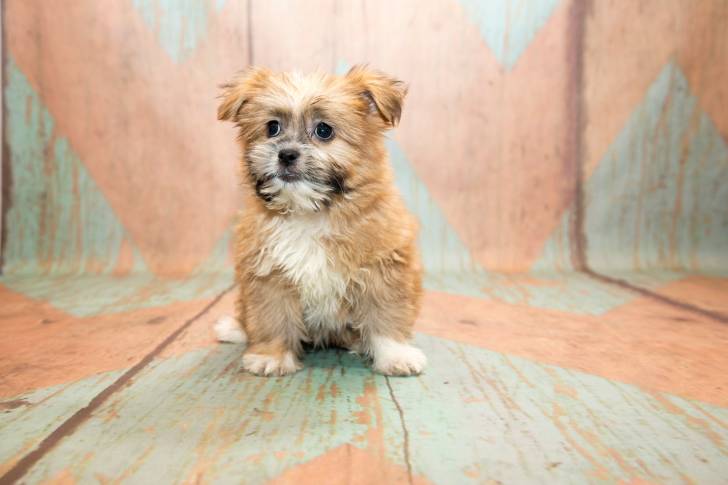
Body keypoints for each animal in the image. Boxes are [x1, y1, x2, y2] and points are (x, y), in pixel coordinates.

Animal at [213, 65, 424, 374]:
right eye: (272, 127)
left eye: (324, 130)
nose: (286, 154)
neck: (310, 213)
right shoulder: (268, 274)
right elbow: (272, 316)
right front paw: (272, 356)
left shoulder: (383, 269)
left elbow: (386, 314)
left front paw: (395, 355)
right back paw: (236, 328)